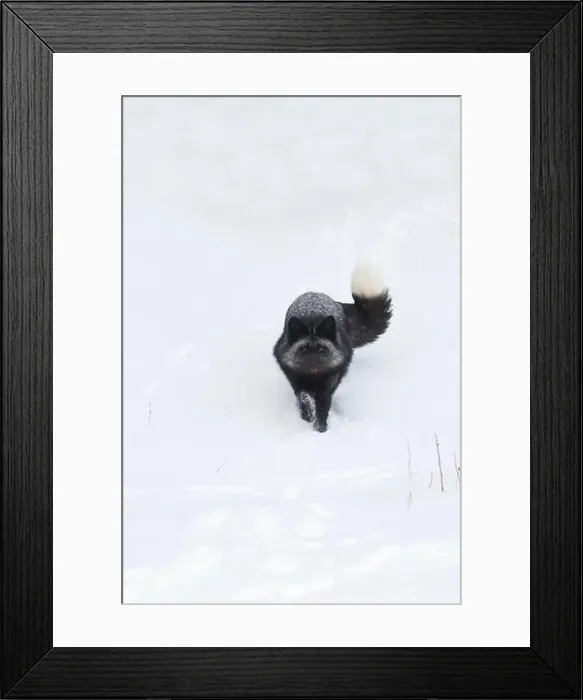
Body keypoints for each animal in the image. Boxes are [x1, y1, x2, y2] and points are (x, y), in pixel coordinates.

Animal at [273, 264, 393, 432]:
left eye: (322, 349)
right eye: (303, 349)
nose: (314, 365)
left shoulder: (328, 384)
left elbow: (323, 407)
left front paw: (320, 428)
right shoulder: (295, 379)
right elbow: (303, 397)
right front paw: (306, 415)